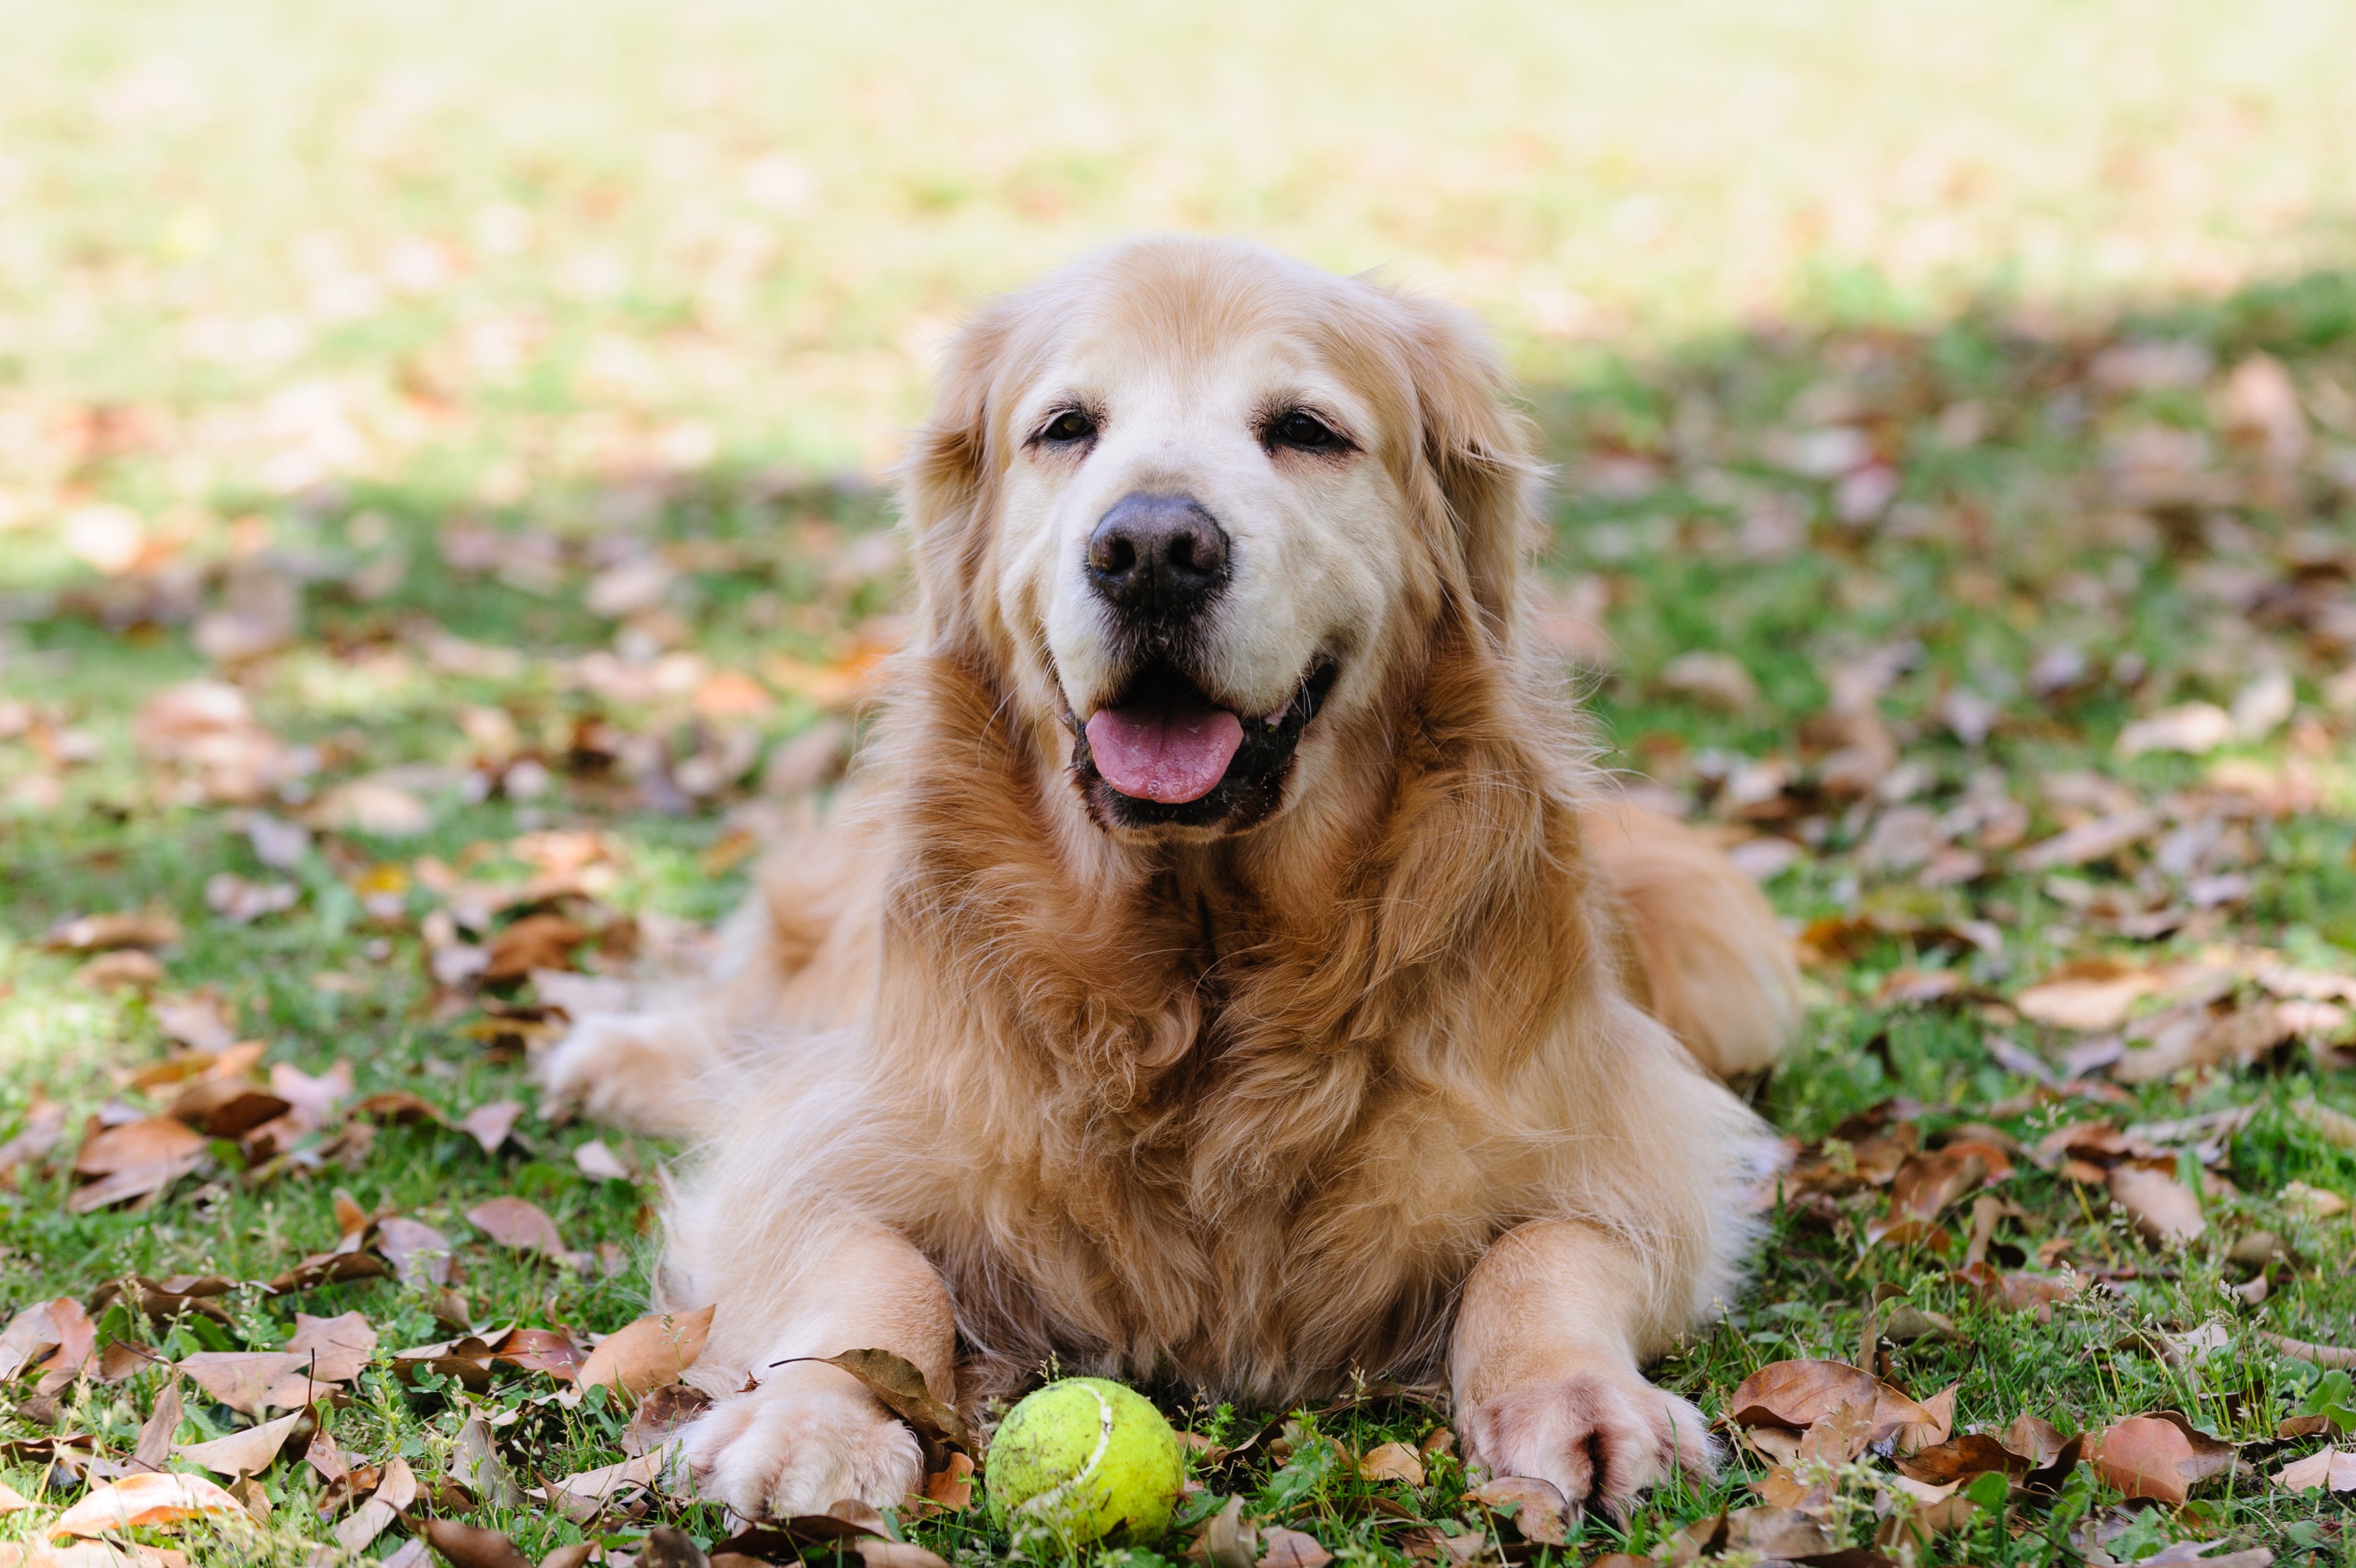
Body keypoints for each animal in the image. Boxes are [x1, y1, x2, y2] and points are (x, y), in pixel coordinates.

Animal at [542, 238, 1790, 1518]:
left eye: (1305, 430)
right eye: (1065, 427)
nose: (1150, 550)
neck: (1203, 961)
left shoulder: (1634, 1138)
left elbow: (1548, 1246)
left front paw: (1577, 1399)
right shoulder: (837, 1137)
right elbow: (866, 1272)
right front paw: (812, 1418)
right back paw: (622, 1057)